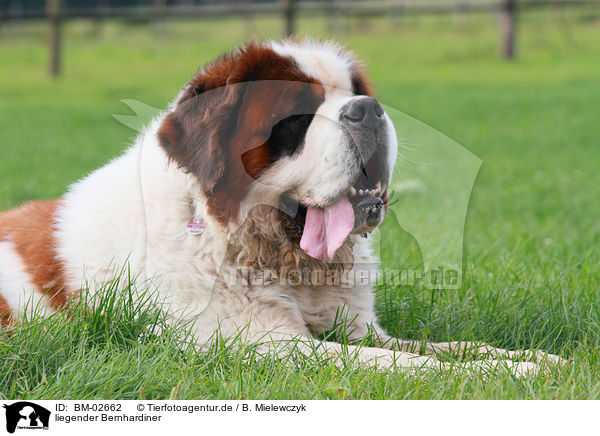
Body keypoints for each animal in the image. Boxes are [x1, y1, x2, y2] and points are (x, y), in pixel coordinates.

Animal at [0, 41, 556, 372]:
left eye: (356, 92)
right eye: (295, 118)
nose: (368, 110)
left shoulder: (356, 326)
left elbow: (441, 346)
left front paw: (533, 359)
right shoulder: (266, 343)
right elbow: (408, 366)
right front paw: (513, 373)